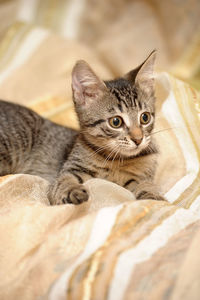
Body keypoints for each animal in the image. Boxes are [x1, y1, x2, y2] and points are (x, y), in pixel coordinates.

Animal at [0, 51, 165, 206]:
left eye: (145, 118)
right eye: (116, 122)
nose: (138, 139)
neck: (117, 159)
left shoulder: (141, 176)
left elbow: (146, 184)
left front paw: (153, 195)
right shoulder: (70, 170)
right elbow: (63, 181)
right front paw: (71, 190)